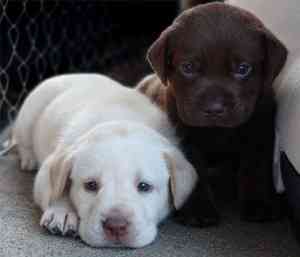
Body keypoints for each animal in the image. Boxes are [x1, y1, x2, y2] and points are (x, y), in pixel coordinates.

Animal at [11, 73, 197, 247]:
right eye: (90, 185)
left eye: (144, 186)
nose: (116, 226)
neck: (120, 119)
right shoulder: (48, 169)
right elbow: (56, 190)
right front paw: (62, 212)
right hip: (29, 114)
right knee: (23, 140)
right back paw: (28, 158)